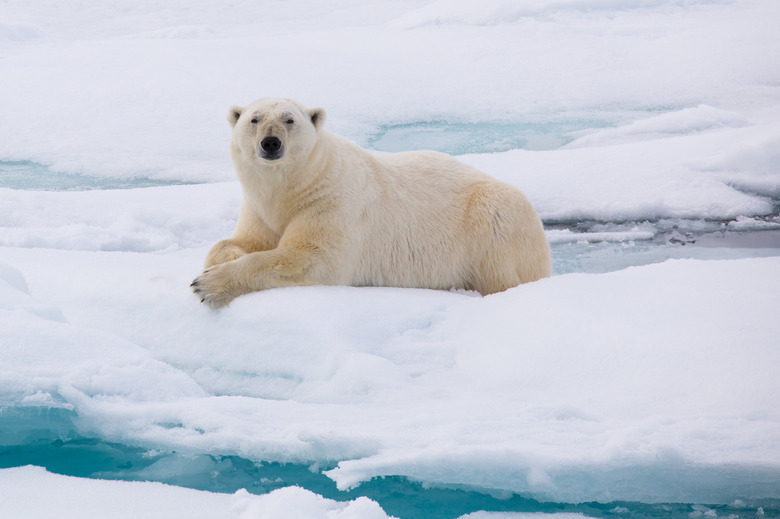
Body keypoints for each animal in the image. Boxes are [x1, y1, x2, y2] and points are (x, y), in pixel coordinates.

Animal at [192, 99, 552, 306]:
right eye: (254, 119)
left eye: (289, 119)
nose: (270, 143)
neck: (295, 185)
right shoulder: (259, 207)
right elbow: (242, 240)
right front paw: (224, 258)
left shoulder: (331, 200)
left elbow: (310, 257)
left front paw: (207, 284)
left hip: (495, 218)